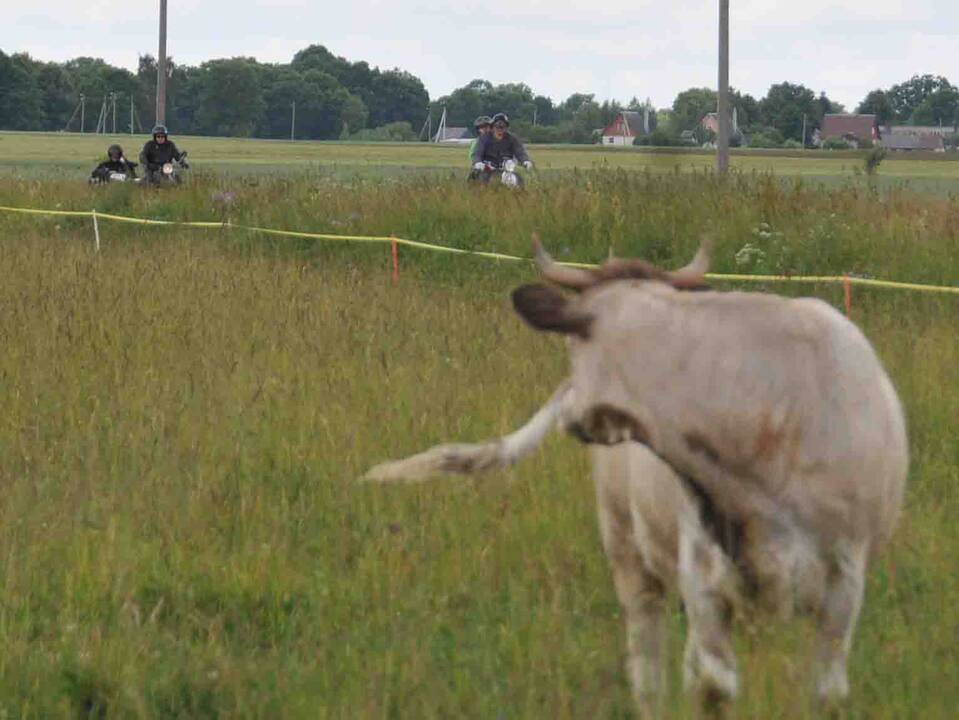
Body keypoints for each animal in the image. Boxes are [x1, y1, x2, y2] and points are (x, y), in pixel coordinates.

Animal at [366, 238, 908, 716]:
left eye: (570, 348)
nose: (569, 407)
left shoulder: (845, 579)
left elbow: (825, 693)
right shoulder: (704, 575)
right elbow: (712, 687)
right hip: (628, 552)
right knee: (648, 669)